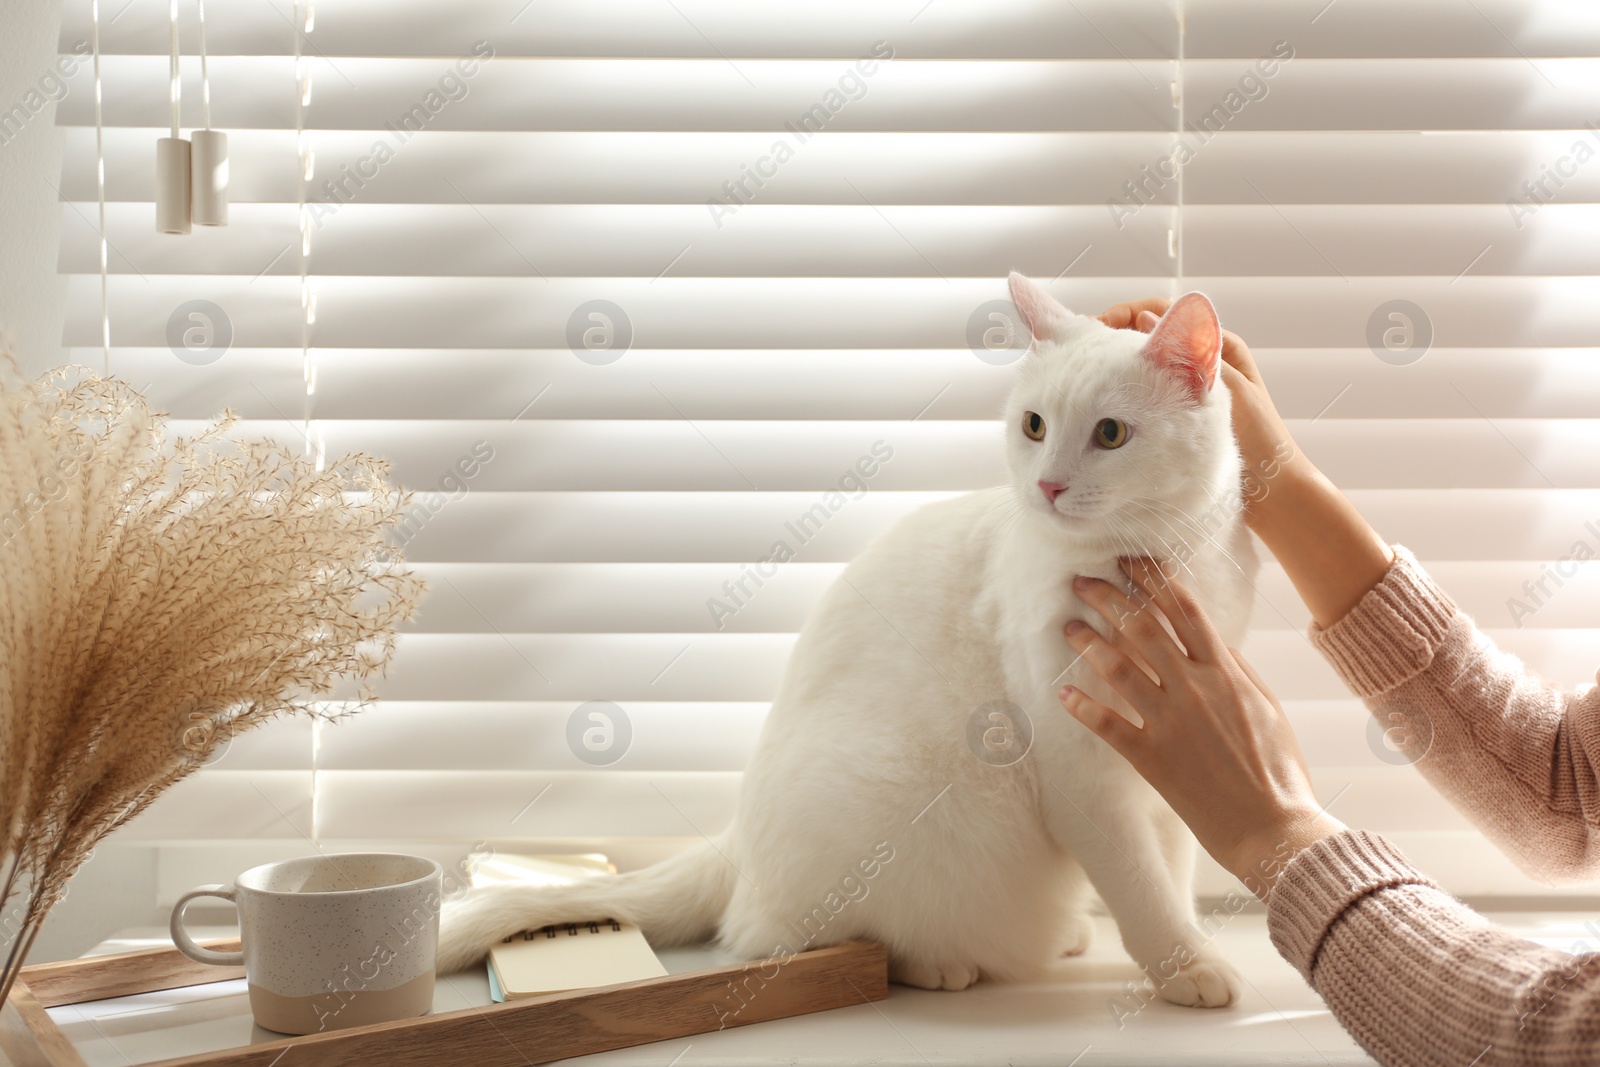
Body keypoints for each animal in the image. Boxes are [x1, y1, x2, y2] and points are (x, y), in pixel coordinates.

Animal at [441, 275, 1260, 1011]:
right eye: (1033, 426)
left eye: (1110, 433)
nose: (1048, 486)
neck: (1157, 570)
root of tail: (735, 839)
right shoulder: (1081, 770)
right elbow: (1140, 886)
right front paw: (1186, 964)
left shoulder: (1167, 762)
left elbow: (1172, 870)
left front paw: (1186, 948)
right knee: (799, 938)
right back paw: (941, 963)